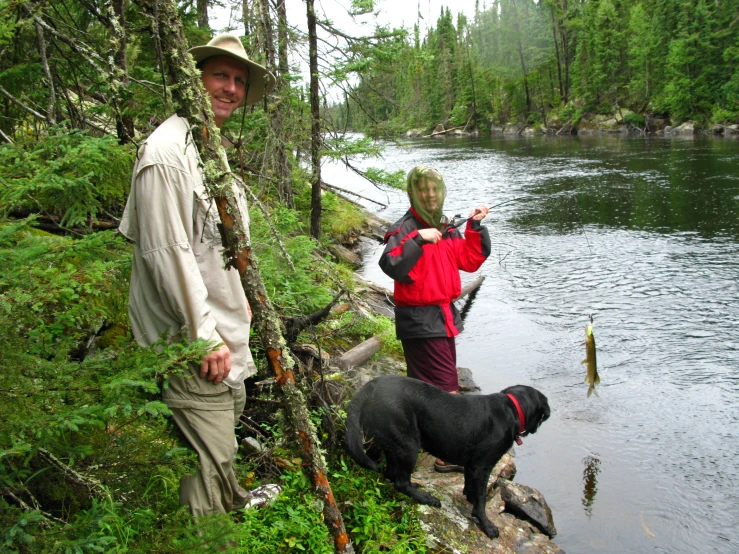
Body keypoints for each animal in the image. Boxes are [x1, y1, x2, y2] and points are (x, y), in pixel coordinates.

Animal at [346, 374, 548, 536]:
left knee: (388, 473)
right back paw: (426, 498)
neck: (512, 408)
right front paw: (487, 525)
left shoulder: (472, 466)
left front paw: (470, 500)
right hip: (409, 444)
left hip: (382, 441)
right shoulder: (482, 466)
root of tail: (372, 385)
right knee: (400, 482)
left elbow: (471, 488)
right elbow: (481, 499)